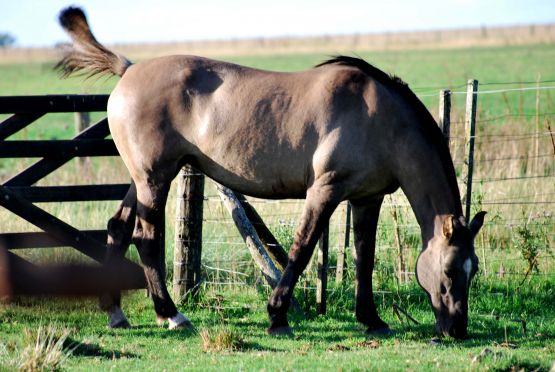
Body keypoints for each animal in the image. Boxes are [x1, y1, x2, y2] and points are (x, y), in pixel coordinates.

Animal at [56, 6, 486, 338]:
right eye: (450, 270)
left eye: (474, 270)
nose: (457, 329)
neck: (380, 118)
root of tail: (128, 70)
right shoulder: (325, 191)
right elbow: (302, 248)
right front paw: (278, 316)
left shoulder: (367, 198)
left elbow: (364, 256)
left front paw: (371, 319)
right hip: (155, 178)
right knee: (145, 236)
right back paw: (171, 313)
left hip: (144, 178)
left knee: (118, 227)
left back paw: (115, 313)